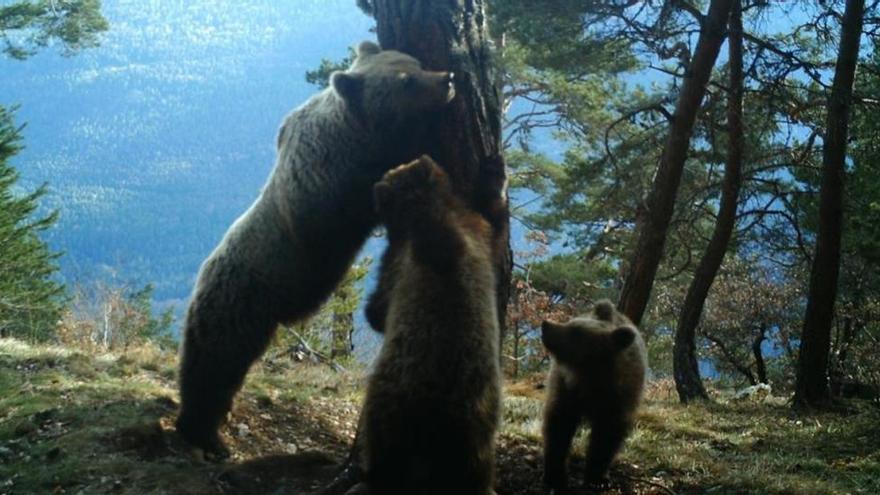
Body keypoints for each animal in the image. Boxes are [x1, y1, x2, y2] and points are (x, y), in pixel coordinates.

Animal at [176, 40, 458, 460]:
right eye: (405, 80)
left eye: (415, 63)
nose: (448, 79)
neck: (355, 132)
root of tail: (203, 273)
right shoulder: (324, 186)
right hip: (241, 299)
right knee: (213, 362)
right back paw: (204, 434)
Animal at [352, 157, 498, 495]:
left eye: (392, 172)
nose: (375, 185)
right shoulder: (479, 231)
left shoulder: (406, 260)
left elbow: (380, 309)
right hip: (480, 420)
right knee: (476, 462)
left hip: (395, 393)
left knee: (384, 441)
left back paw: (371, 474)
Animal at [540, 300, 648, 494]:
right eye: (571, 322)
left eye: (575, 332)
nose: (546, 325)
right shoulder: (567, 391)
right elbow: (558, 427)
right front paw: (554, 477)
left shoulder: (618, 400)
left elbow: (606, 437)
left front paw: (598, 478)